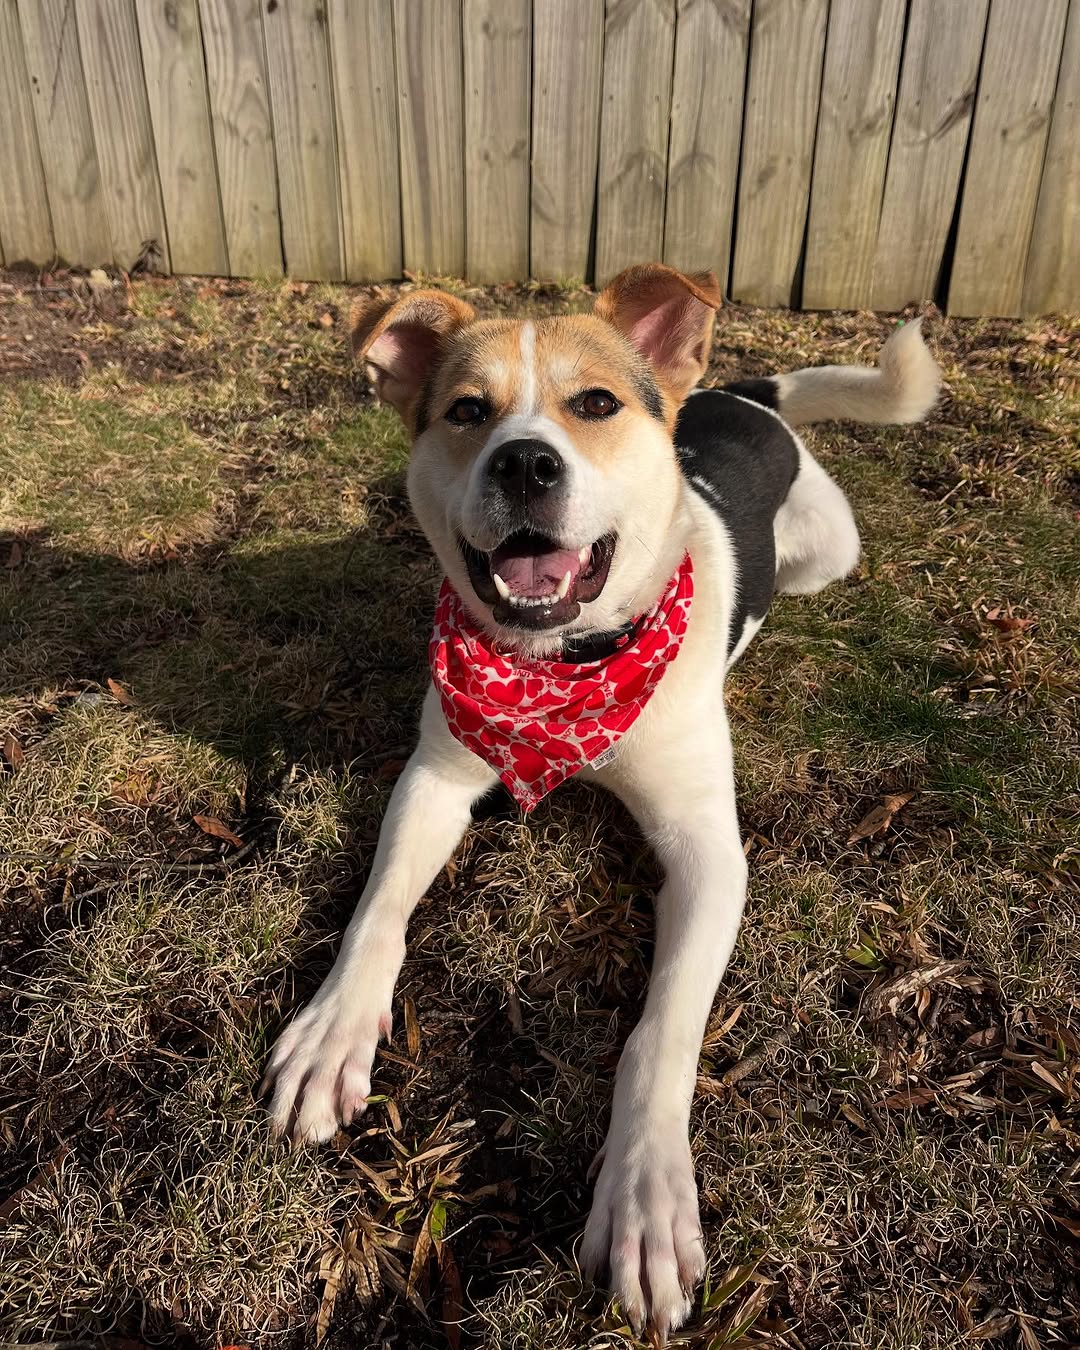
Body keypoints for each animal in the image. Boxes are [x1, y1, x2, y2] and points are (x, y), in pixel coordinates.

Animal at [261, 260, 934, 1328]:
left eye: (596, 406)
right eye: (466, 411)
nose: (525, 465)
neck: (563, 671)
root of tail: (742, 395)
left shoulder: (709, 854)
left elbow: (660, 1036)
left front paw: (646, 1200)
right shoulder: (434, 779)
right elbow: (379, 912)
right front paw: (334, 1034)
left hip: (831, 551)